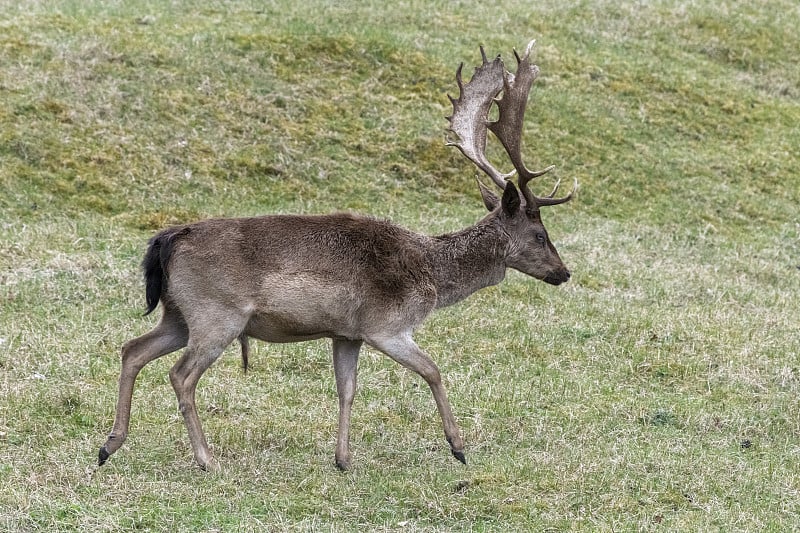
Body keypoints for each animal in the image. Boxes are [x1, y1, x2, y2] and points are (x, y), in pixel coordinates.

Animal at [98, 39, 576, 470]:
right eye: (539, 234)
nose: (564, 272)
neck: (432, 275)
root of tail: (169, 239)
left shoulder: (347, 333)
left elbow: (346, 389)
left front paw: (343, 459)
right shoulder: (387, 326)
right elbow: (433, 370)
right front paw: (458, 447)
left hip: (178, 313)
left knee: (132, 349)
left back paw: (109, 445)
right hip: (217, 314)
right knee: (180, 375)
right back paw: (206, 459)